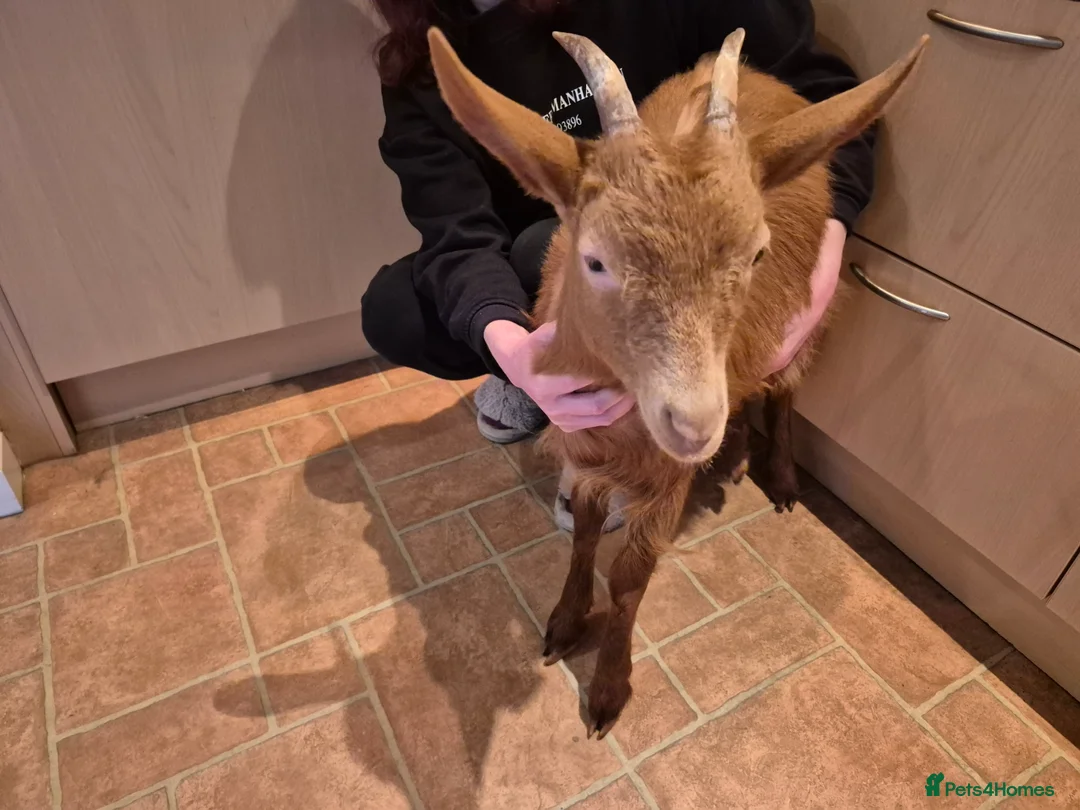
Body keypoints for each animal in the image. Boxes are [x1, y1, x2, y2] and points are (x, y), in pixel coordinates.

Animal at [427, 25, 927, 737]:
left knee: (786, 389)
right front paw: (565, 622)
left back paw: (778, 477)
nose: (695, 424)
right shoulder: (587, 453)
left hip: (806, 315)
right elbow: (583, 535)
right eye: (595, 261)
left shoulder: (664, 480)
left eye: (757, 253)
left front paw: (609, 689)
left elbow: (630, 579)